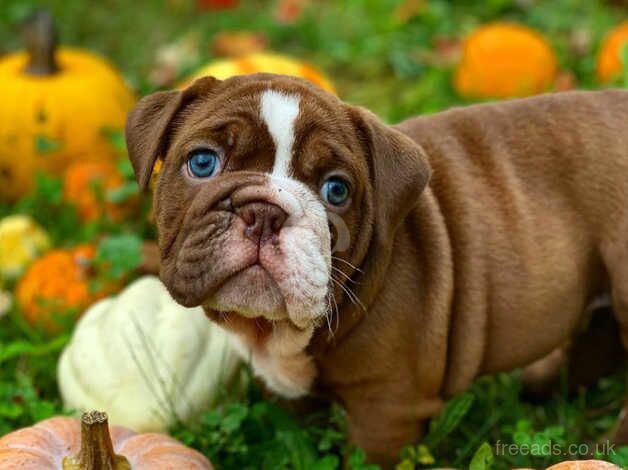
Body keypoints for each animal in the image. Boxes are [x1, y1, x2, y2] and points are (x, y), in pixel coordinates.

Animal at [125, 74, 628, 466]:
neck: (278, 332)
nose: (264, 212)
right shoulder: (289, 390)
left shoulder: (386, 411)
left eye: (337, 190)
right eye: (203, 162)